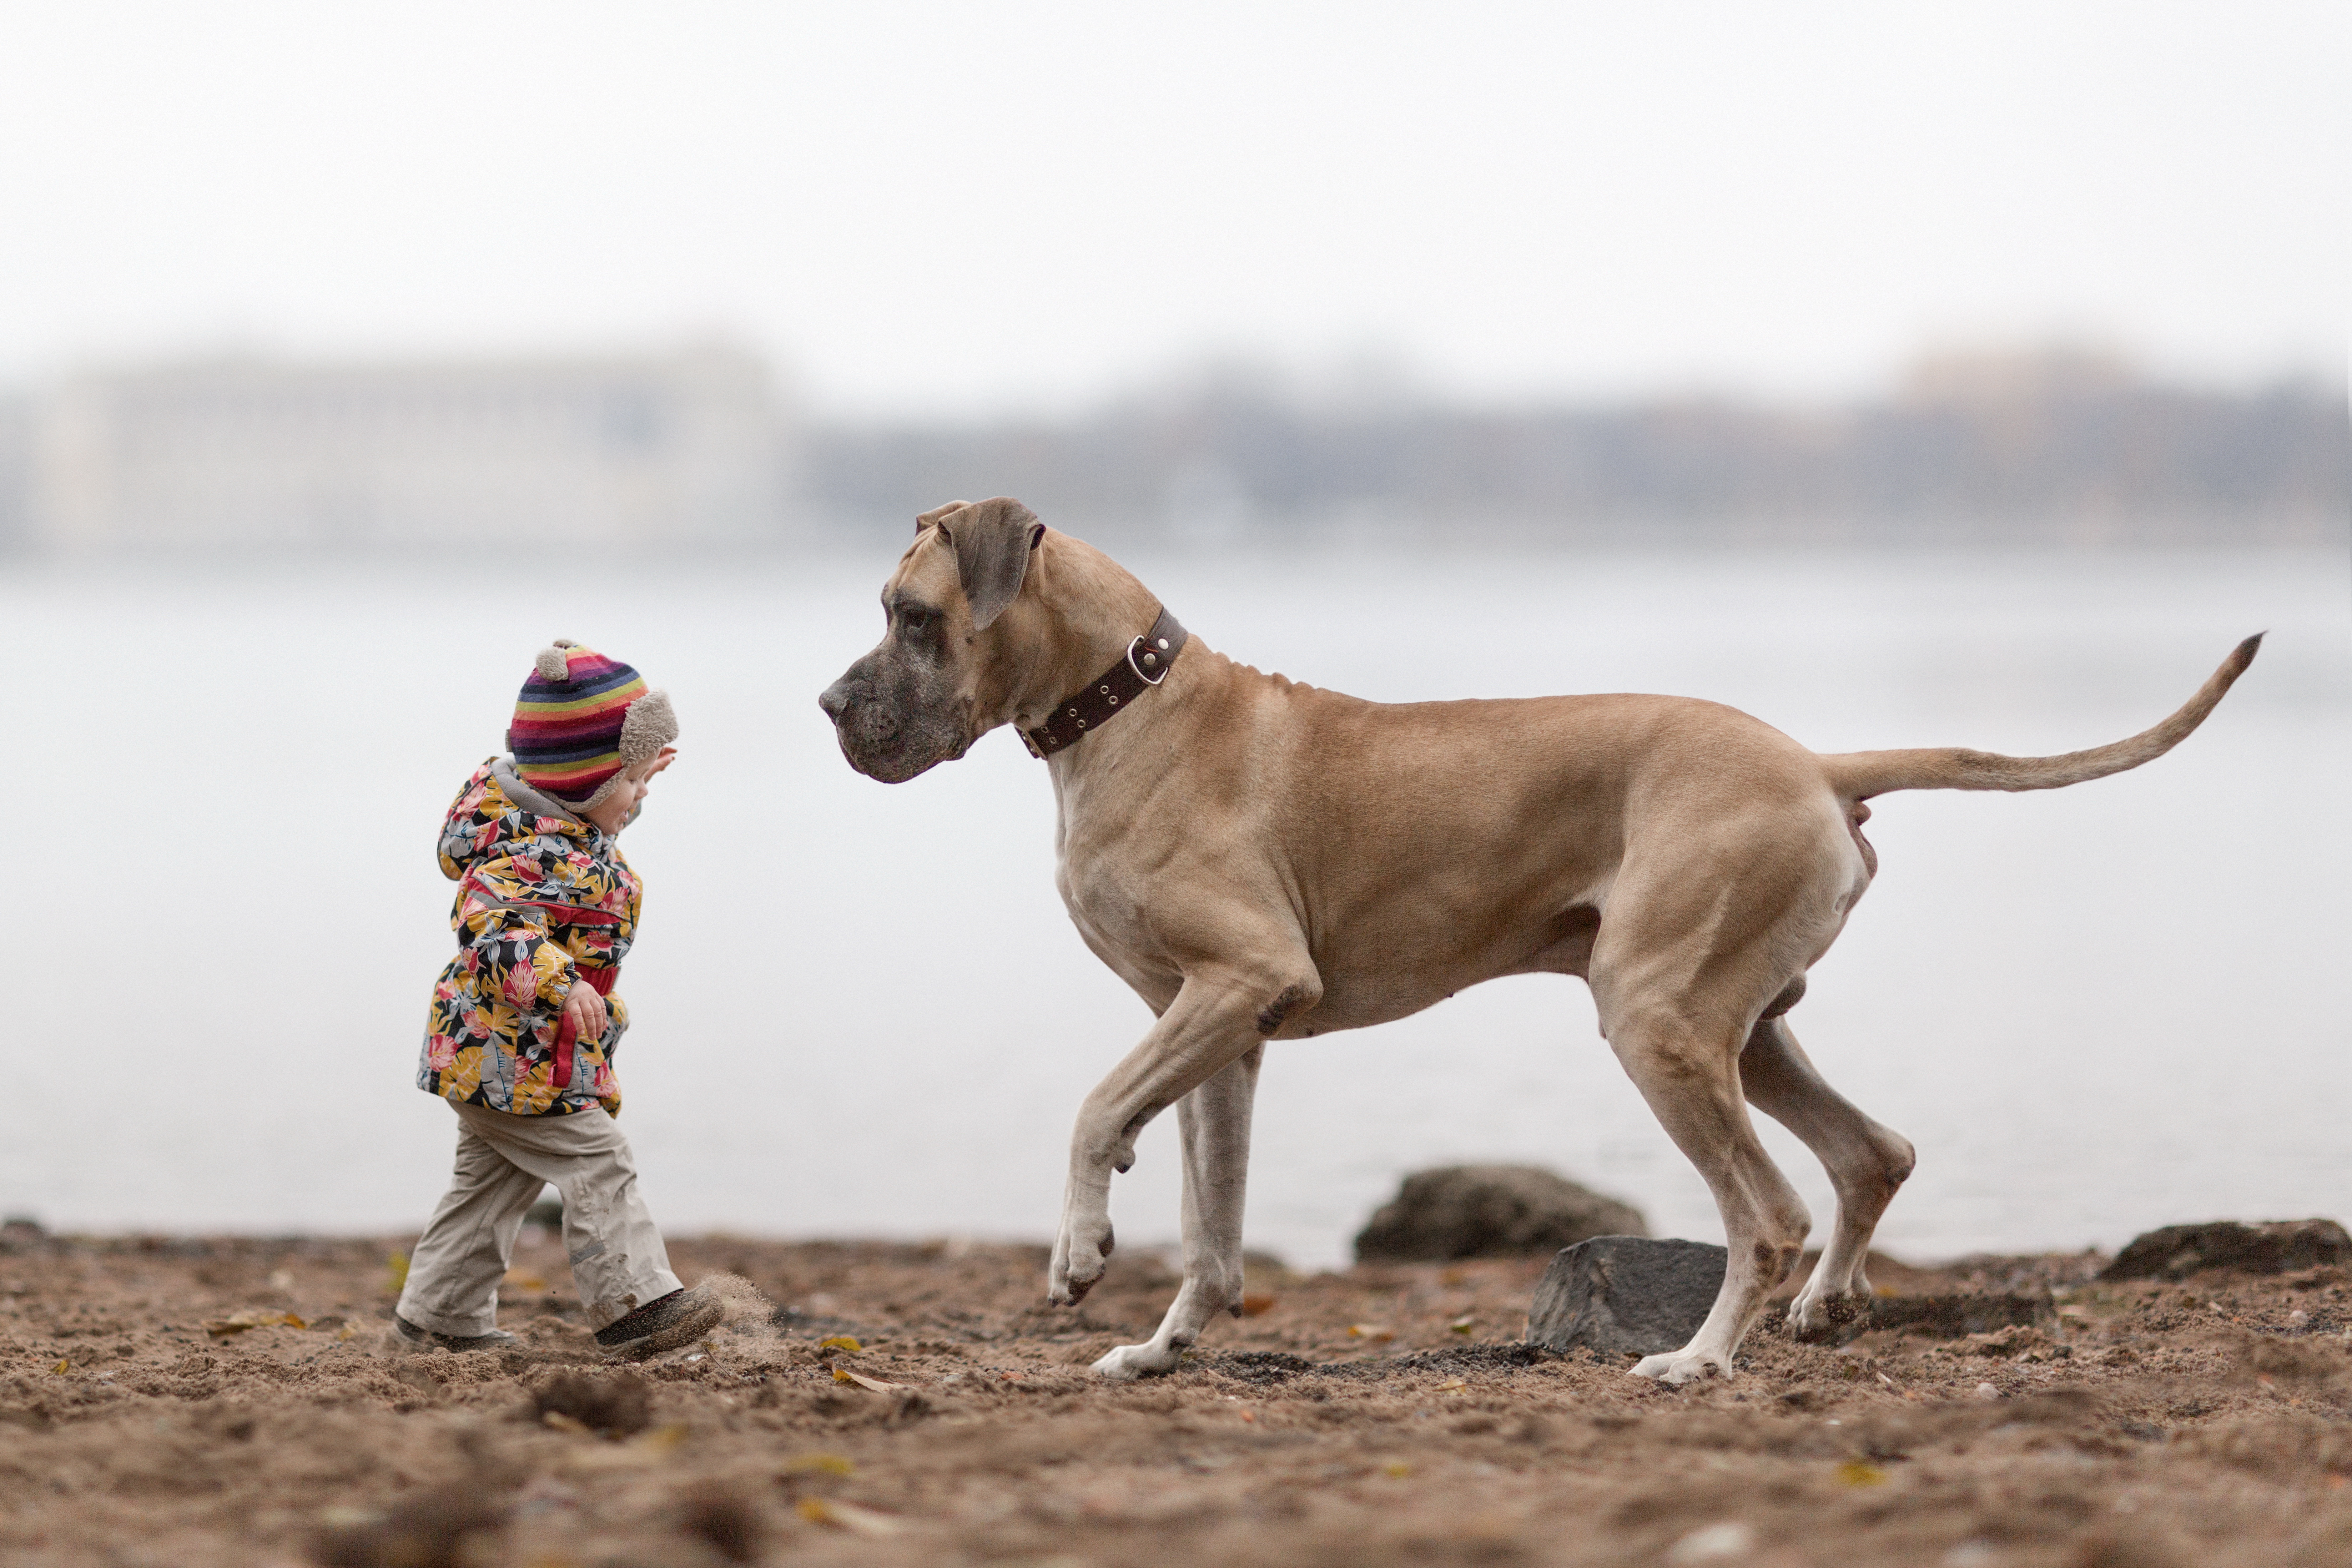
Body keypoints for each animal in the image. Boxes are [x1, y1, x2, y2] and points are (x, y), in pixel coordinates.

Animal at [818, 500, 2248, 1382]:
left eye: (911, 615)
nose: (829, 704)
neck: (1126, 702)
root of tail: (1813, 761)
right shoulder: (1223, 1031)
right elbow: (1211, 1231)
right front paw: (1162, 1347)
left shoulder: (1237, 986)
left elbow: (1090, 1109)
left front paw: (1077, 1247)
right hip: (1742, 1026)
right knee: (1870, 1153)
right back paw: (1823, 1306)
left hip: (1659, 1026)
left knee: (1770, 1207)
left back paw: (1702, 1360)